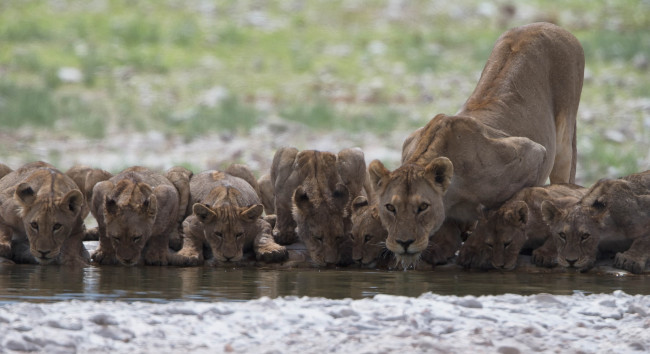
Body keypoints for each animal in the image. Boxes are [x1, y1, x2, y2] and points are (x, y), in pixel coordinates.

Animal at [368, 22, 584, 266]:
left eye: (422, 207)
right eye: (390, 207)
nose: (404, 242)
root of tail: (548, 25)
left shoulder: (533, 153)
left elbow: (500, 215)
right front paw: (444, 245)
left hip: (564, 141)